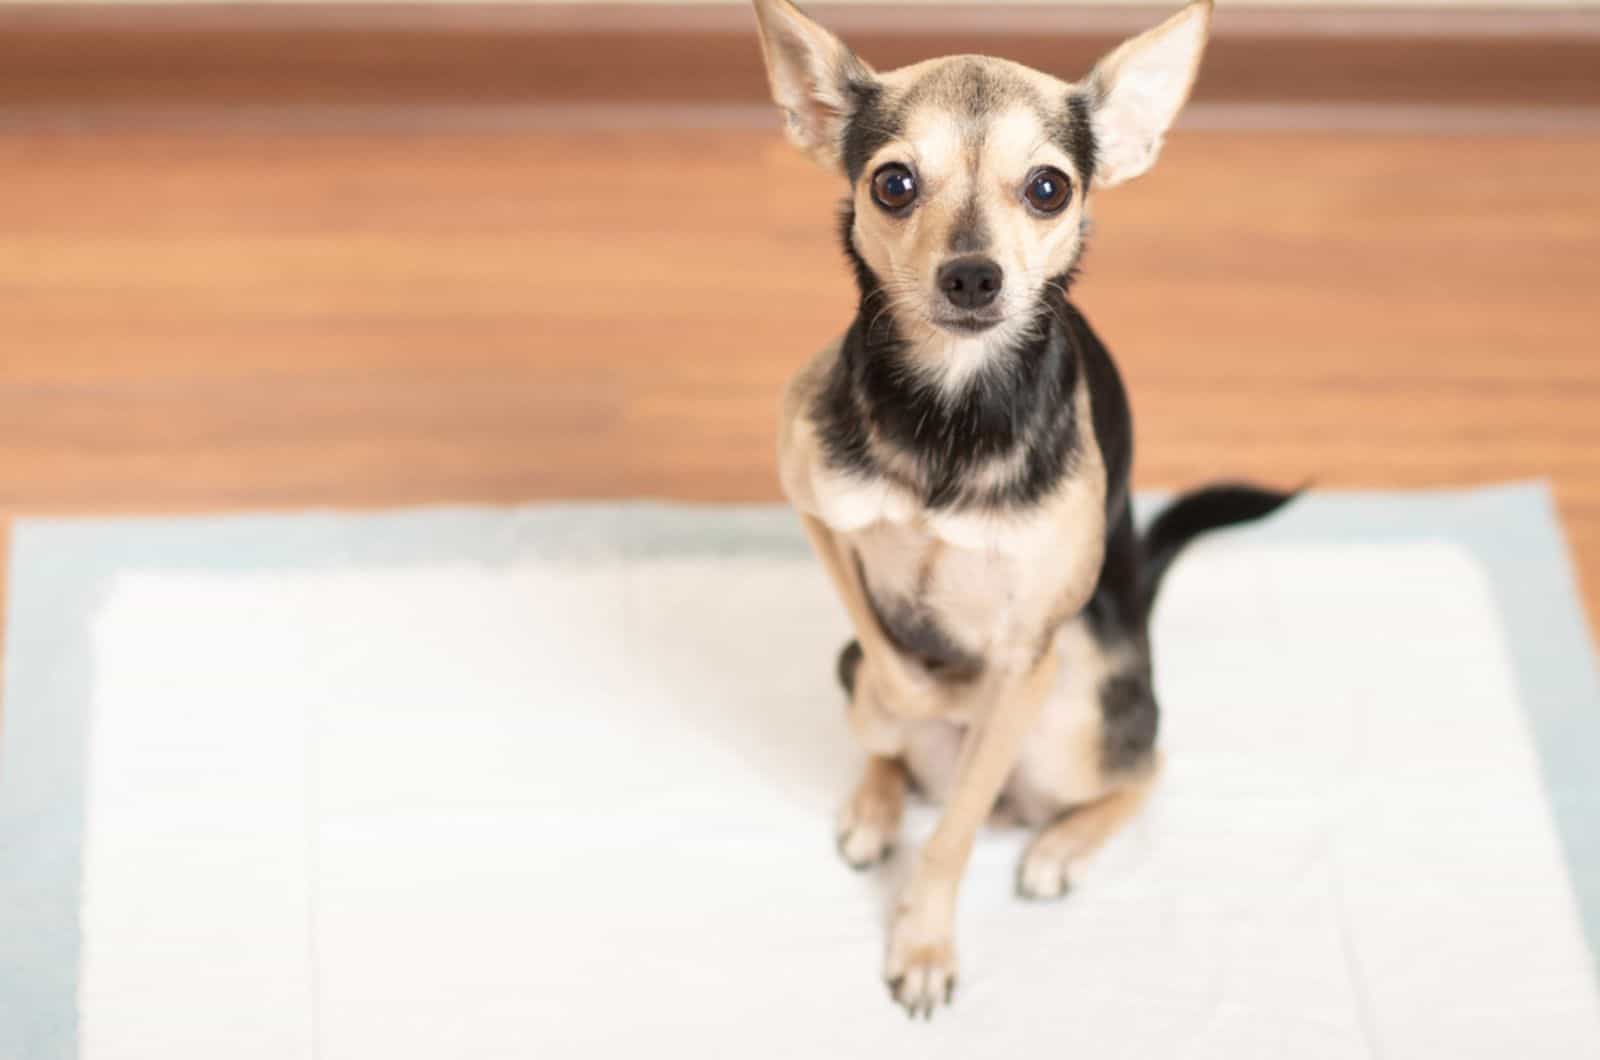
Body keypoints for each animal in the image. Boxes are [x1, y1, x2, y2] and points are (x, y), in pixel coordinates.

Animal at [755, 0, 1292, 1024]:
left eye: (1048, 188)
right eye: (893, 184)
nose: (972, 275)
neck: (950, 409)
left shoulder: (1026, 656)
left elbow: (957, 829)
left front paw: (922, 943)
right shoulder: (816, 509)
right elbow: (893, 663)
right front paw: (927, 693)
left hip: (1076, 711)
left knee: (1143, 766)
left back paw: (1058, 846)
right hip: (858, 673)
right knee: (882, 724)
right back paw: (875, 804)